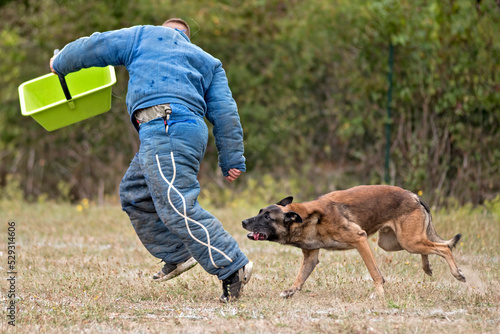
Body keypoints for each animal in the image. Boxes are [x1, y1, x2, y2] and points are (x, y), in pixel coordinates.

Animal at [242, 185, 464, 298]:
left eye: (267, 217)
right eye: (260, 212)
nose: (244, 222)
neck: (307, 219)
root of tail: (415, 197)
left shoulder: (360, 240)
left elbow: (375, 272)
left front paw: (379, 294)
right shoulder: (311, 257)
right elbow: (300, 278)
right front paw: (291, 291)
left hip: (407, 241)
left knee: (444, 247)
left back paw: (457, 273)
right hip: (394, 243)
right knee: (429, 247)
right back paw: (427, 267)